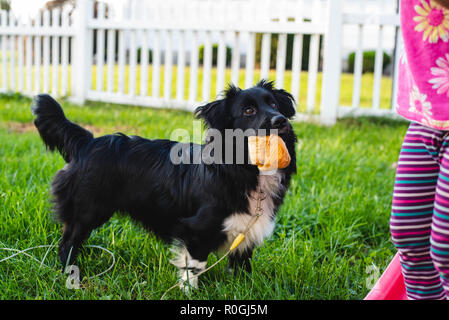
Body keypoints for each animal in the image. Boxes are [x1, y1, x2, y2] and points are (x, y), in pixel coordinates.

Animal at [33, 80, 296, 290]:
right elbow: (194, 267)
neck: (242, 170)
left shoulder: (246, 233)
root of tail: (86, 142)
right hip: (88, 208)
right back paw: (72, 274)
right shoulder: (196, 230)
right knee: (67, 243)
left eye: (274, 105)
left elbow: (242, 267)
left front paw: (246, 288)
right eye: (249, 110)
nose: (280, 120)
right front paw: (189, 292)